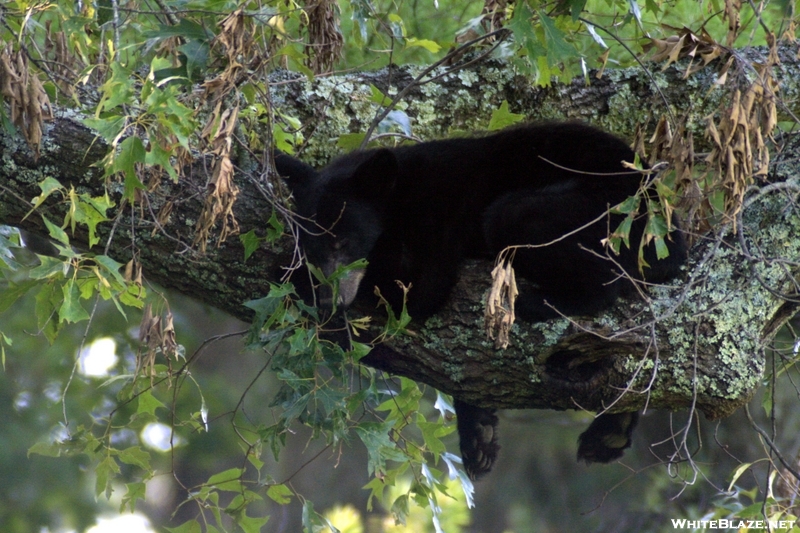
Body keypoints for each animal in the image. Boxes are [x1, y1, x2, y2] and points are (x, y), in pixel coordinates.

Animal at [276, 120, 688, 478]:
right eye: (312, 249)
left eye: (342, 242)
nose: (329, 301)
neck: (400, 196)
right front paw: (479, 433)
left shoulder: (434, 227)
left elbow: (413, 293)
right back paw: (610, 432)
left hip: (596, 213)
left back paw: (536, 302)